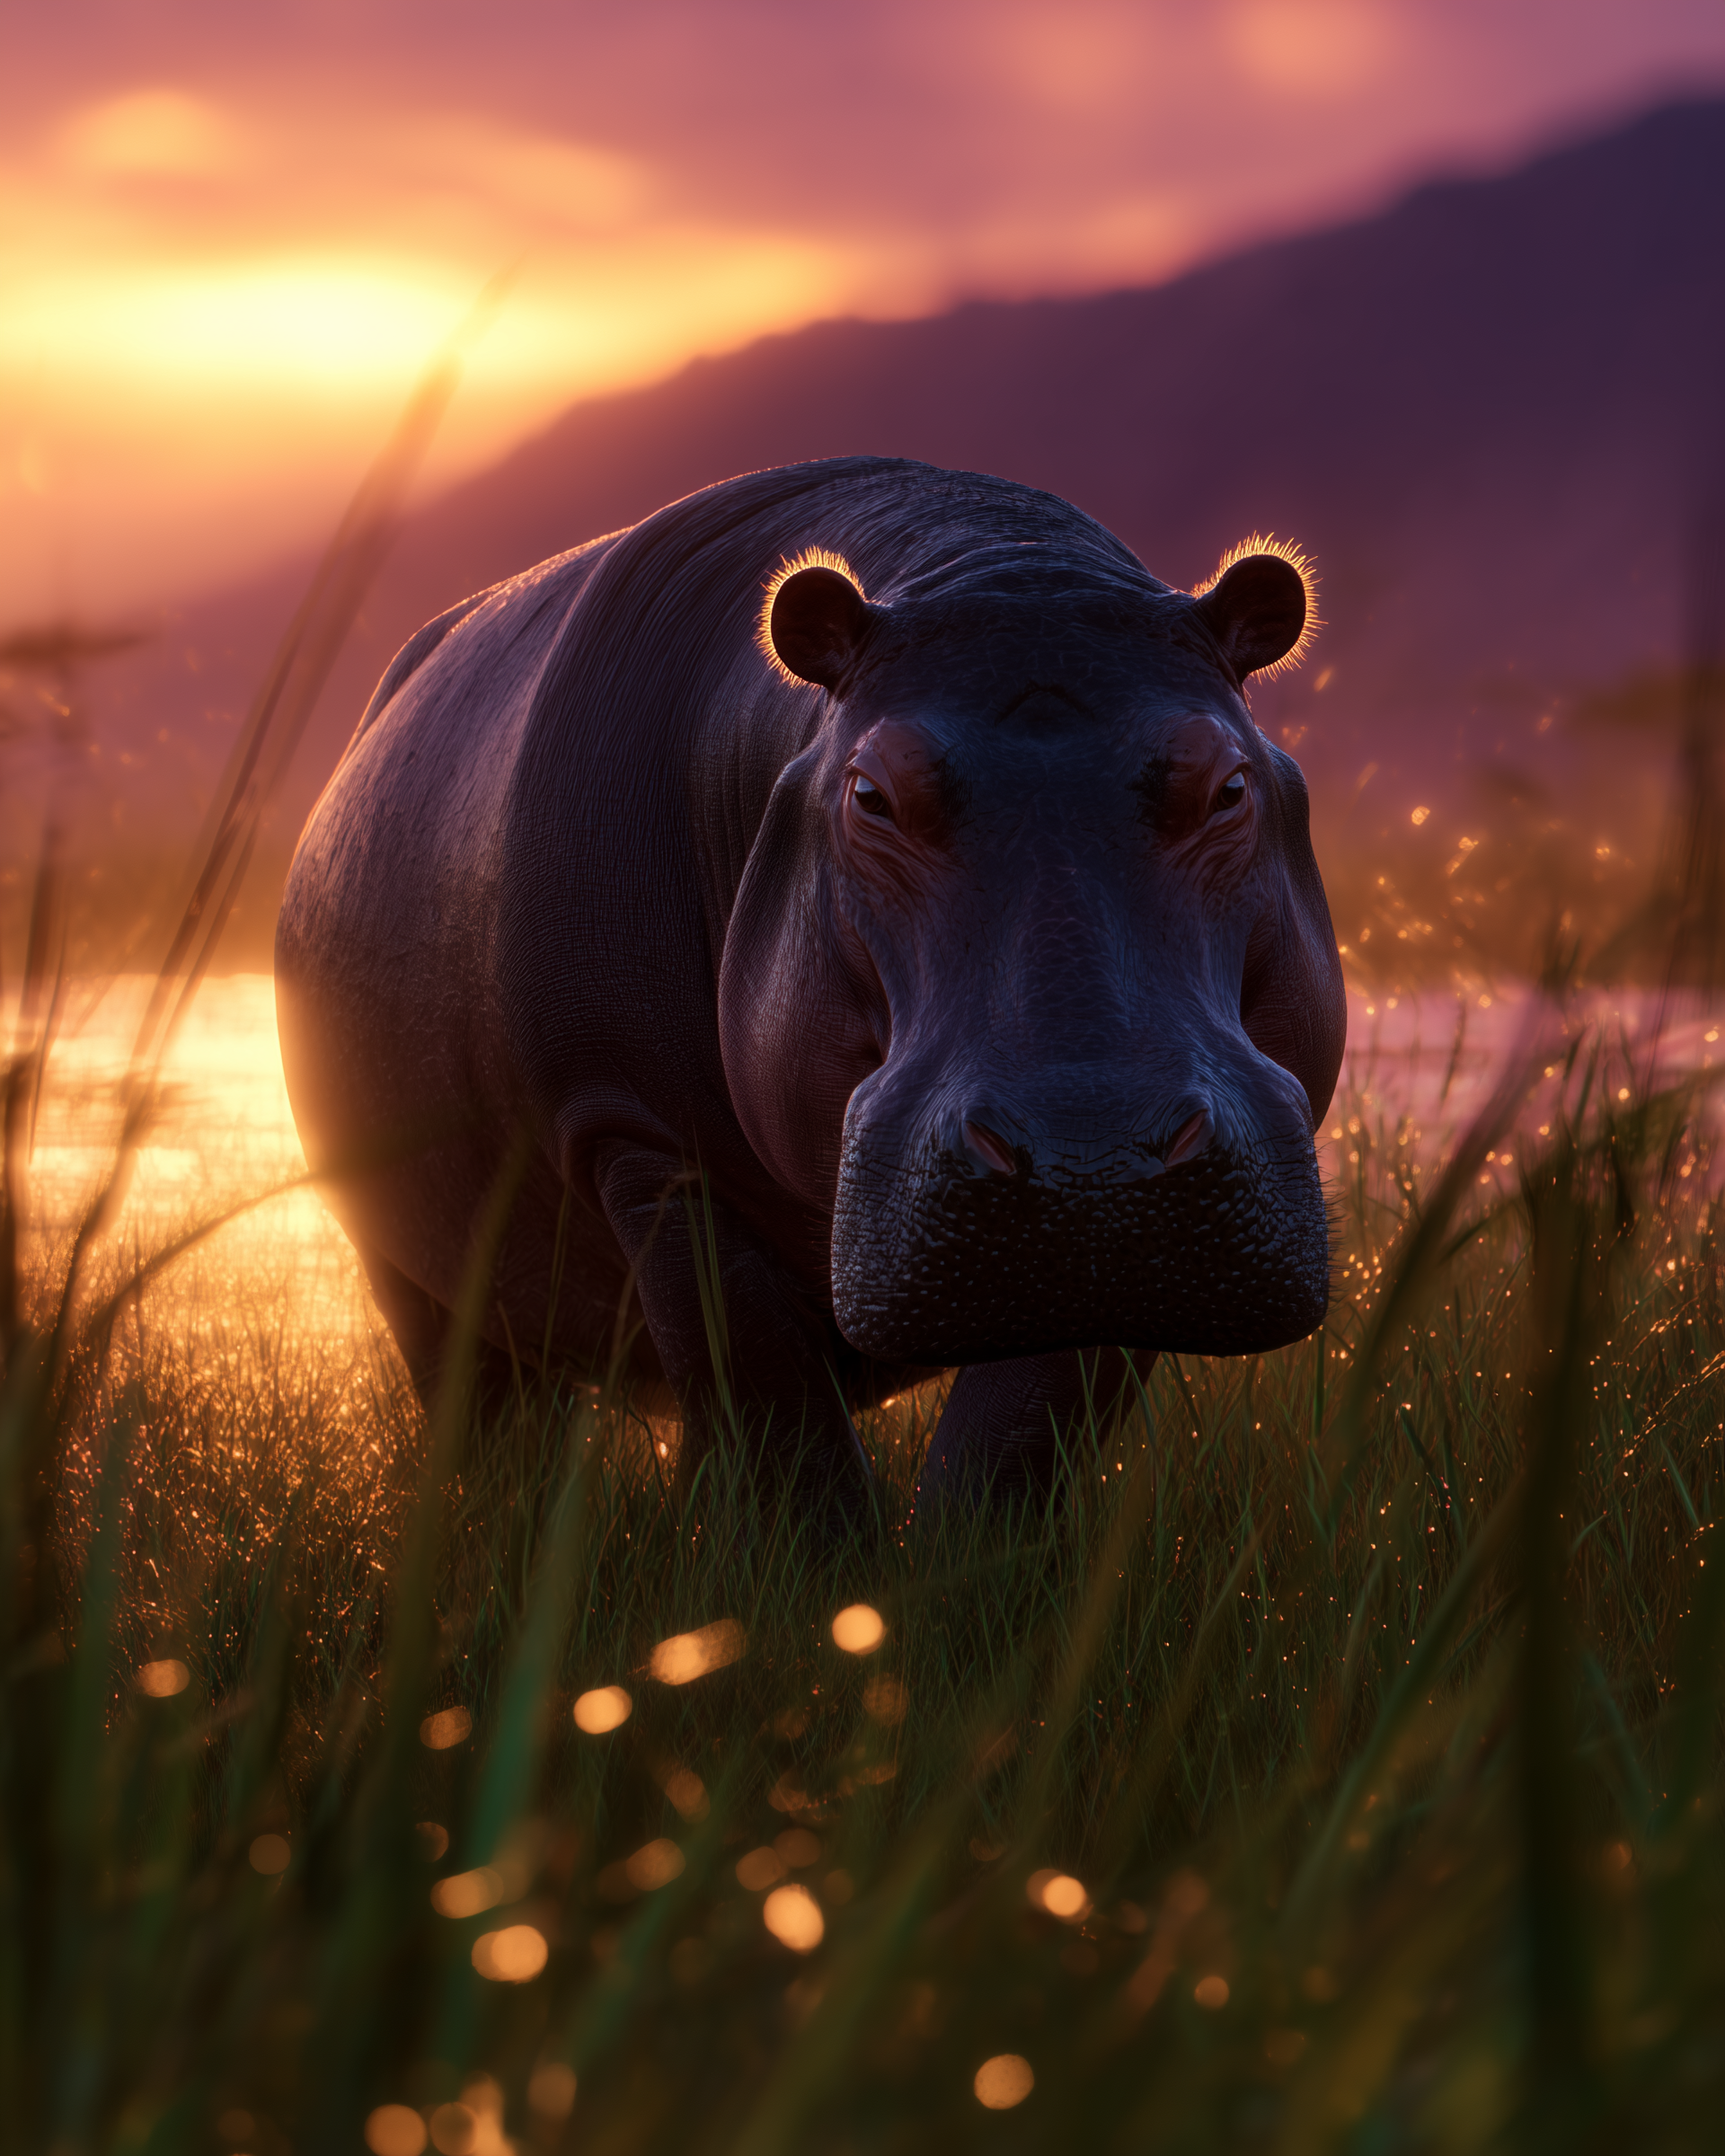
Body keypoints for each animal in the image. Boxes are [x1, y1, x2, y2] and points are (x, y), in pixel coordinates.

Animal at [275, 455, 1345, 1520]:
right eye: (869, 793)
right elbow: (773, 1405)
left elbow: (1015, 1436)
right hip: (406, 1270)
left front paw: (953, 1562)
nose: (1091, 1156)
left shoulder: (1118, 1263)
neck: (997, 565)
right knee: (493, 1414)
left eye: (1231, 785)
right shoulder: (642, 1141)